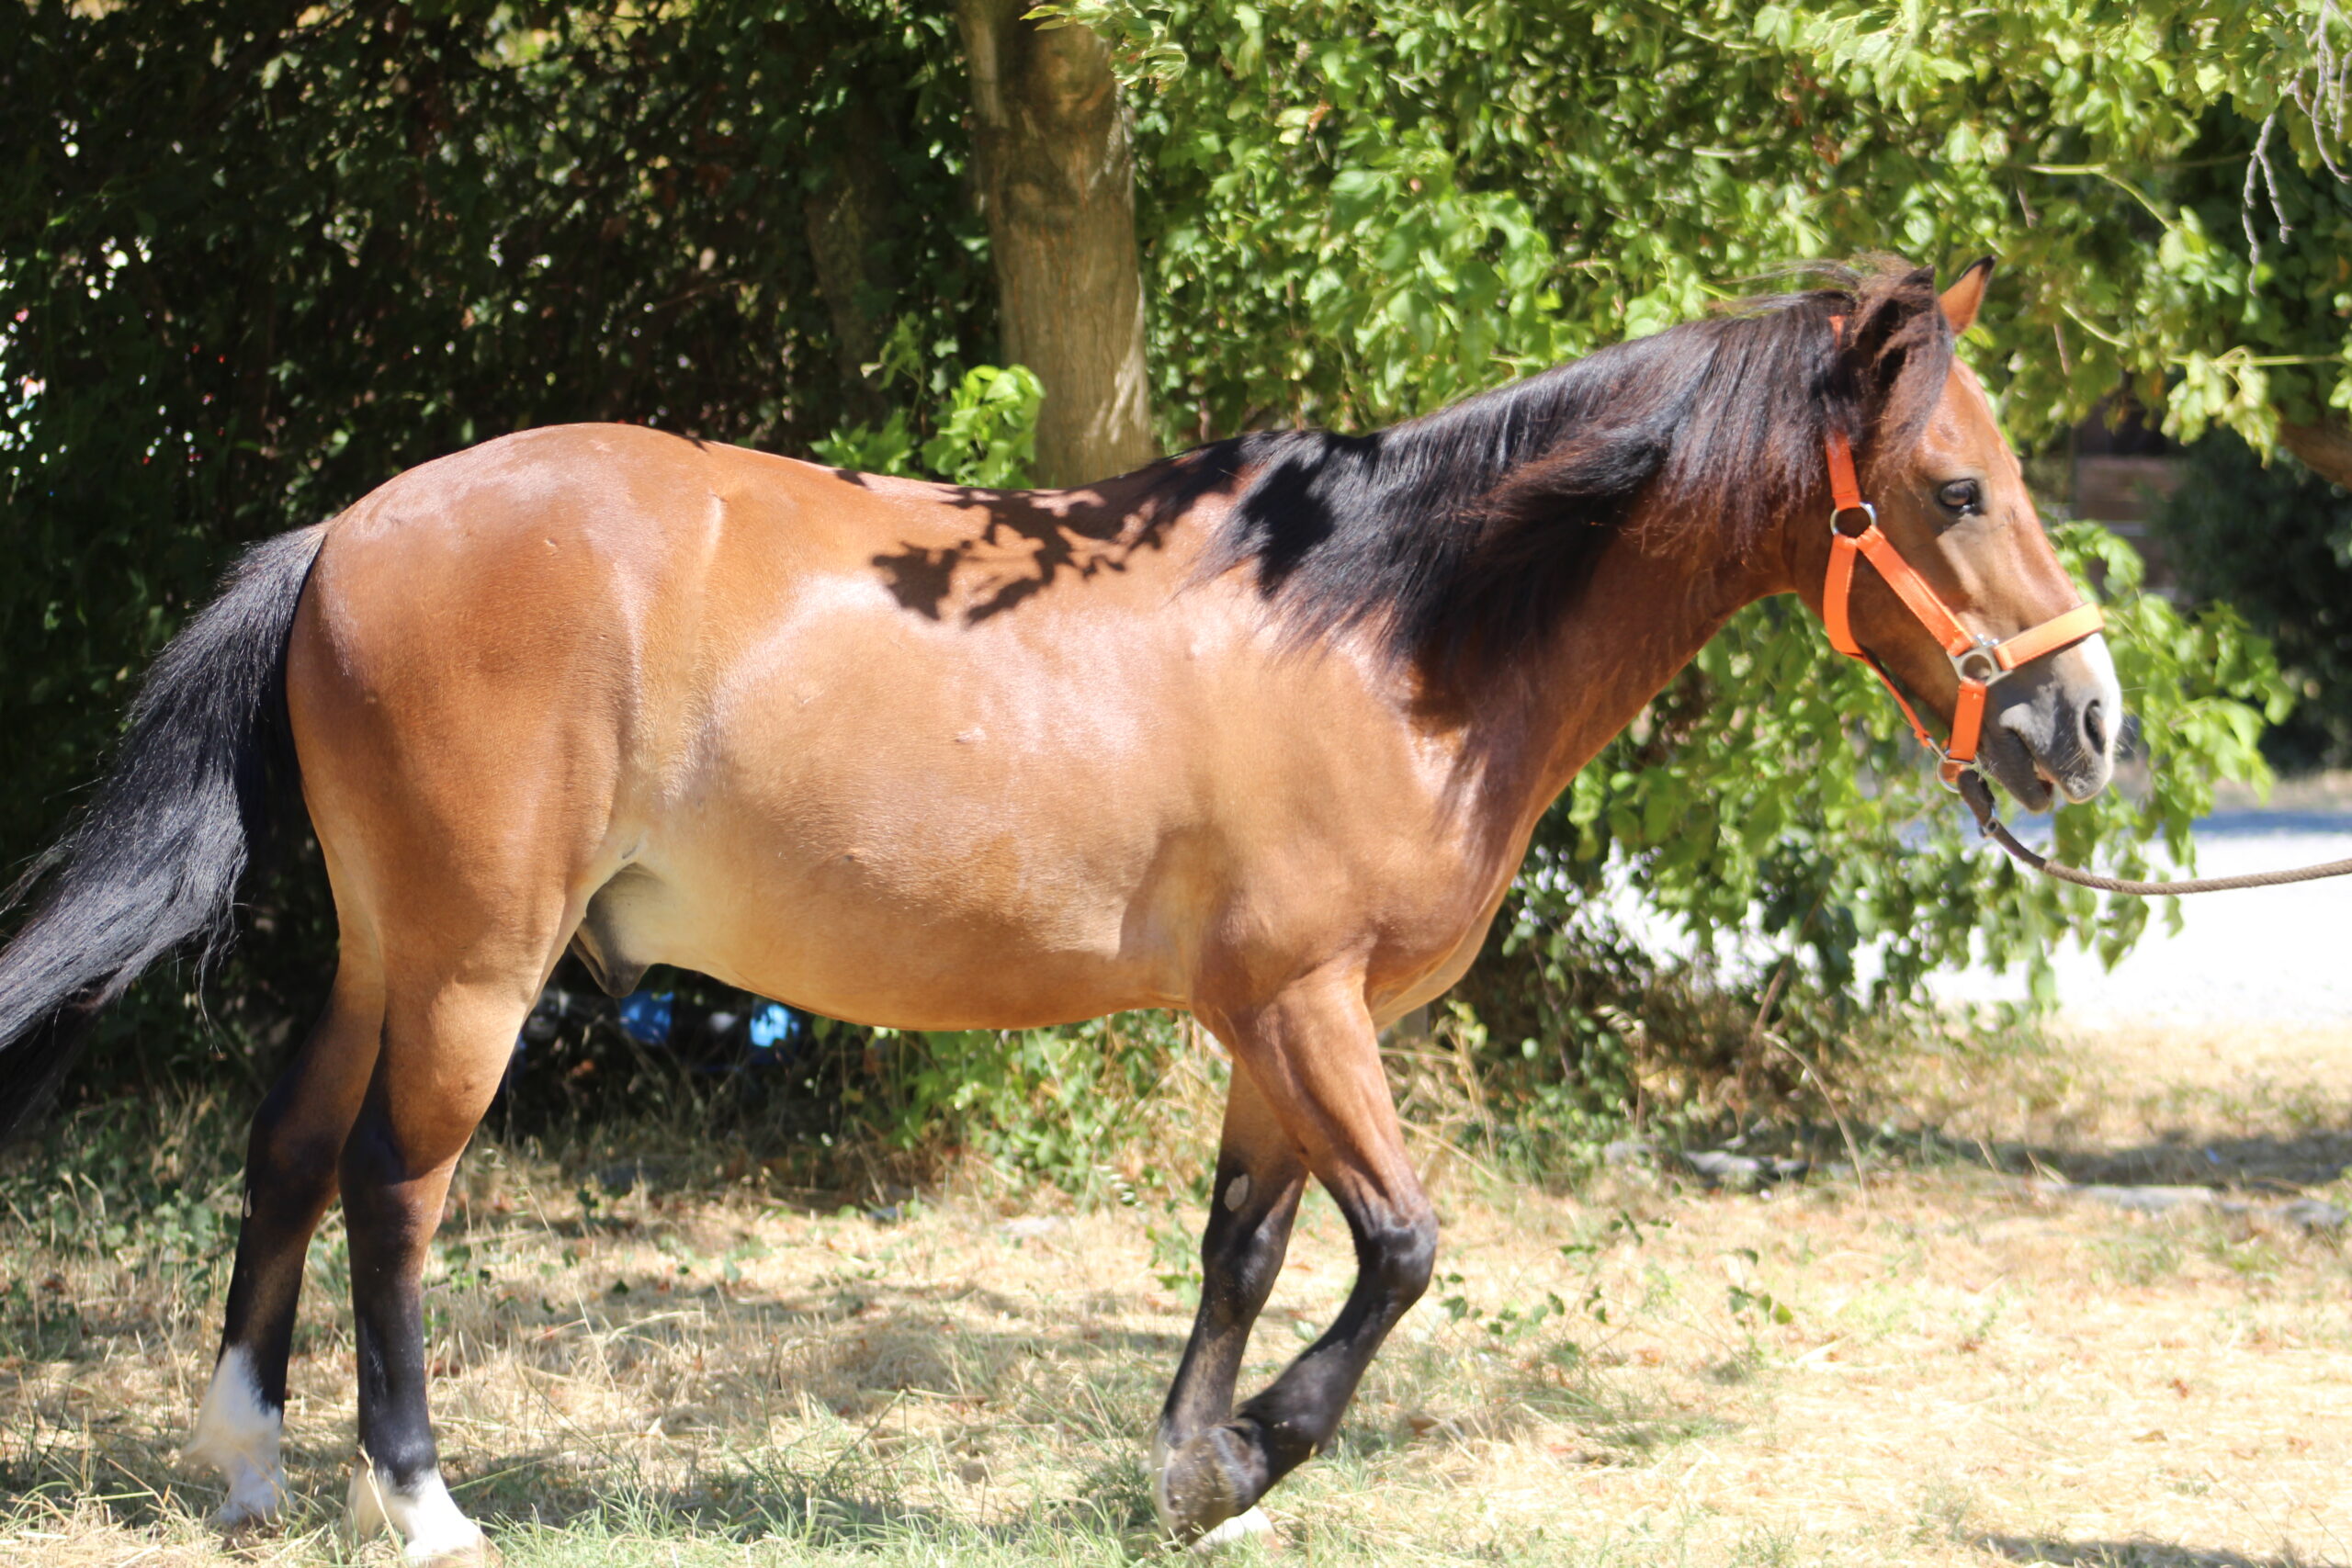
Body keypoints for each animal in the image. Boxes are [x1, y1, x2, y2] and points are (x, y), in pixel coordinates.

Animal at [0, 257, 2117, 1561]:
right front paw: (1248, 1456)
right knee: (391, 1186)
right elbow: (1404, 1247)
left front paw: (1191, 1464)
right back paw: (421, 1497)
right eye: (1949, 489)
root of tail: (353, 527)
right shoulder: (1309, 1008)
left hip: (387, 949)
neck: (1388, 626)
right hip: (471, 965)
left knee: (286, 1148)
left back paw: (249, 1462)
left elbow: (1246, 1250)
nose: (2082, 721)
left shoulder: (1275, 1027)